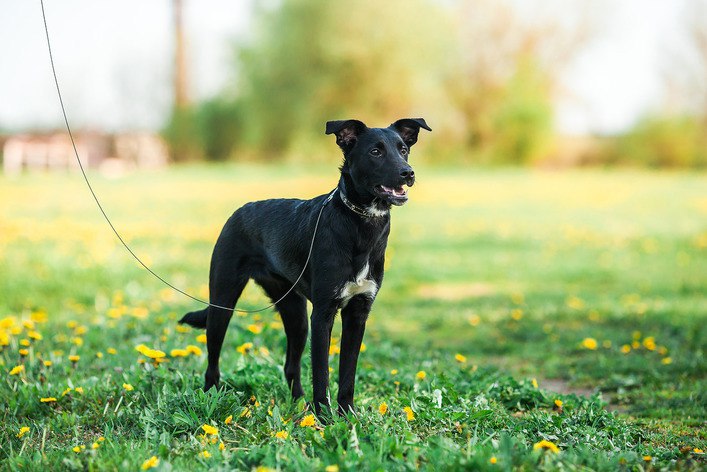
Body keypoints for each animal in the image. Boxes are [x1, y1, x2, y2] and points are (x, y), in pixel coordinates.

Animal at [178, 117, 432, 412]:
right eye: (375, 152)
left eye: (403, 150)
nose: (408, 173)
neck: (360, 224)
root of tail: (239, 211)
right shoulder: (323, 314)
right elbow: (322, 374)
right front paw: (325, 417)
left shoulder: (358, 312)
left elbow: (347, 374)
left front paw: (347, 415)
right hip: (223, 303)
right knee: (213, 363)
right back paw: (211, 397)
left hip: (296, 314)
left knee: (290, 366)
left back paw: (299, 405)